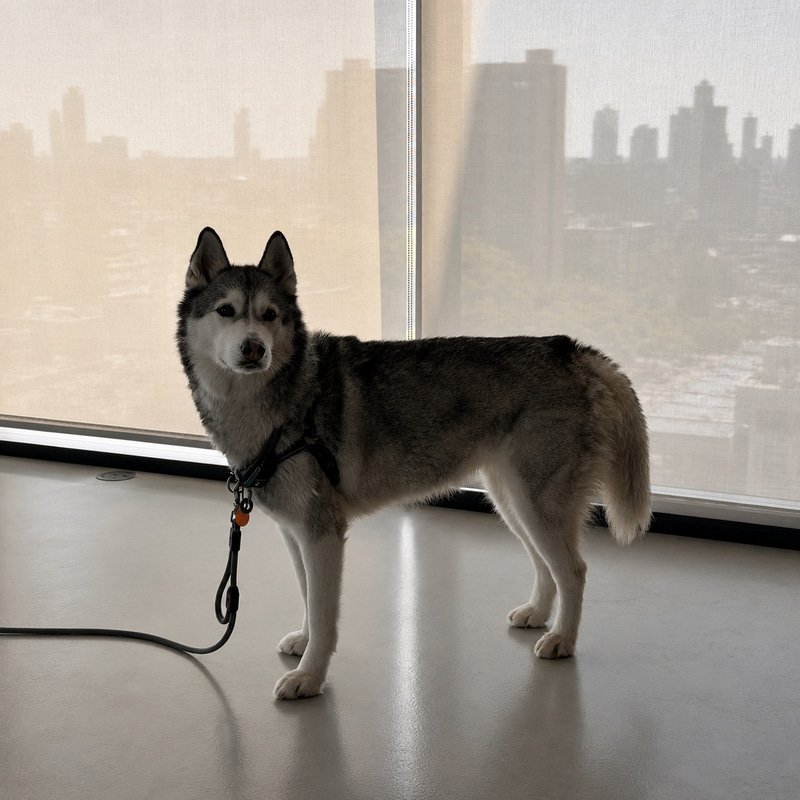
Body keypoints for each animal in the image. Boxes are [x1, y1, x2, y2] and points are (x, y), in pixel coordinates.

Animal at [176, 227, 651, 700]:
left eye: (269, 314)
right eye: (226, 310)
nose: (254, 349)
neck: (286, 402)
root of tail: (571, 351)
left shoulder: (322, 534)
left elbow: (325, 614)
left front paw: (310, 676)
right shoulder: (297, 534)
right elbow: (309, 598)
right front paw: (304, 643)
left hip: (537, 506)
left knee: (573, 571)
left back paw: (562, 640)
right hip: (513, 503)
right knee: (545, 565)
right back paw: (537, 613)